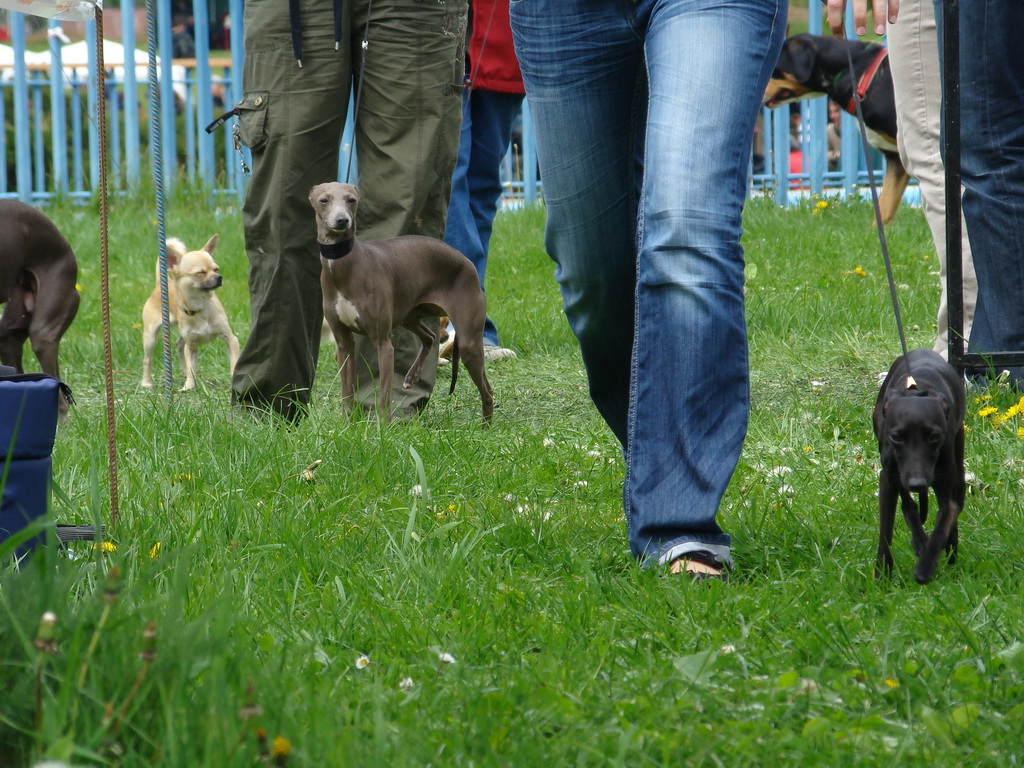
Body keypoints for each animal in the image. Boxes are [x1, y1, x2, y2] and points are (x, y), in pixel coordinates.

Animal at [140, 234, 239, 391]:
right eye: (200, 272)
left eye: (216, 269)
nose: (219, 277)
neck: (200, 307)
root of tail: (159, 285)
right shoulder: (191, 346)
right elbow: (191, 367)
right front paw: (189, 386)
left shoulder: (230, 339)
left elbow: (234, 362)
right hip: (150, 337)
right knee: (147, 359)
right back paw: (146, 382)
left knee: (179, 344)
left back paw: (183, 371)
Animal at [309, 182, 493, 423]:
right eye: (324, 200)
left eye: (351, 200)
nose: (342, 220)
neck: (344, 266)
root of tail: (467, 261)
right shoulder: (344, 343)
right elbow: (346, 394)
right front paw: (347, 425)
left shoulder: (383, 343)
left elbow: (385, 396)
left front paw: (383, 429)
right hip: (410, 316)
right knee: (429, 337)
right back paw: (412, 376)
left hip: (469, 341)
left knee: (487, 391)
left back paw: (487, 428)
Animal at [872, 348, 966, 581]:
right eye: (896, 437)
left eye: (934, 436)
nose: (918, 483)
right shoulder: (889, 477)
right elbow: (887, 528)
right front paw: (882, 575)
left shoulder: (946, 487)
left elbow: (945, 521)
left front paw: (926, 566)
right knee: (908, 503)